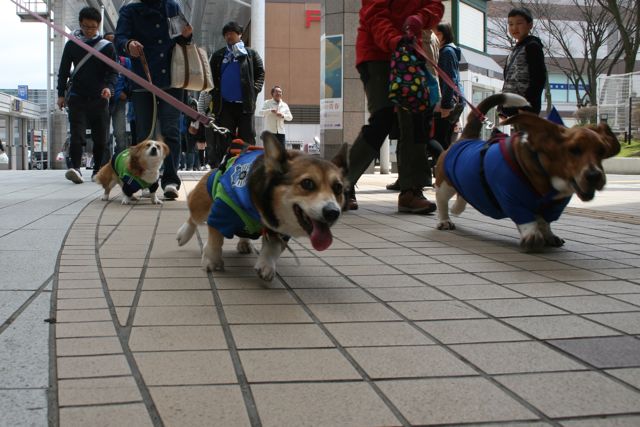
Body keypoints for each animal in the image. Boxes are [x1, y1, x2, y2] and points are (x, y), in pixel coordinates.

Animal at [176, 132, 350, 282]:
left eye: (338, 188)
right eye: (307, 183)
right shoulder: (222, 211)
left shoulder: (279, 230)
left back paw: (245, 243)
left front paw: (266, 266)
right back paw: (183, 234)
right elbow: (215, 239)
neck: (260, 209)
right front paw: (211, 261)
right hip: (201, 204)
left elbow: (272, 247)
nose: (333, 213)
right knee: (193, 217)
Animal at [436, 94, 620, 251]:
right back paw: (445, 220)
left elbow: (544, 221)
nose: (595, 175)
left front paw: (548, 235)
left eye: (601, 151)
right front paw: (532, 235)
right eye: (574, 150)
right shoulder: (512, 199)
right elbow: (527, 220)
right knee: (442, 201)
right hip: (444, 184)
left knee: (462, 195)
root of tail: (466, 138)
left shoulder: (553, 206)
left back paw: (457, 208)